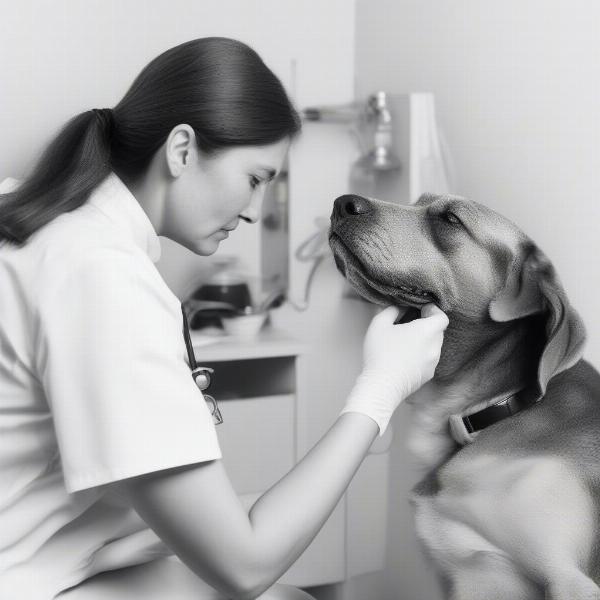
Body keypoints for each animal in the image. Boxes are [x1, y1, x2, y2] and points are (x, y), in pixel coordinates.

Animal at [328, 193, 600, 600]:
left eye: (451, 219)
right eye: (417, 201)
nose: (342, 202)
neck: (501, 408)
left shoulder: (569, 579)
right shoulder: (471, 575)